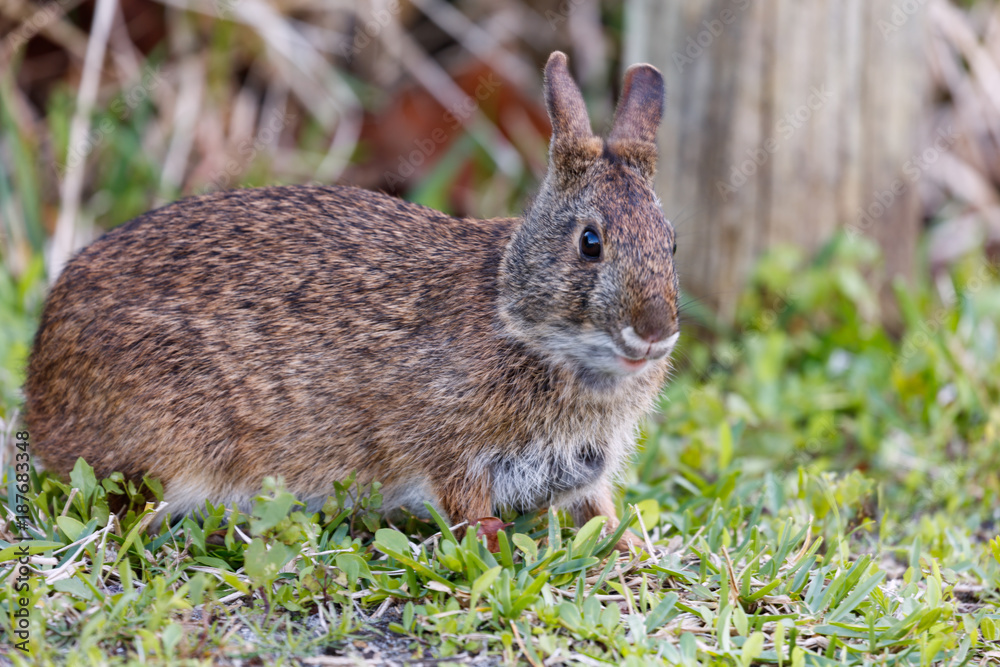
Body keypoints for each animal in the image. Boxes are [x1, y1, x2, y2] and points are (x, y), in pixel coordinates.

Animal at [25, 51, 679, 550]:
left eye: (670, 242)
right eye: (590, 243)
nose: (654, 332)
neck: (517, 315)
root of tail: (40, 376)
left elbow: (597, 509)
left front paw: (629, 544)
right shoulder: (452, 446)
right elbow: (463, 500)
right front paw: (493, 542)